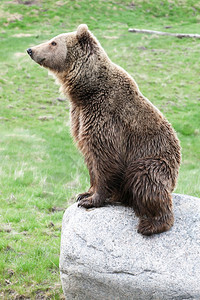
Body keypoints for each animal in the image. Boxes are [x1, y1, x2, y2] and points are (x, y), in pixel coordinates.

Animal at [26, 24, 181, 234]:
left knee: (145, 180)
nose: (30, 49)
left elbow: (105, 157)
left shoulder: (107, 118)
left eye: (53, 42)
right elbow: (89, 157)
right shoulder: (80, 118)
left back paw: (151, 224)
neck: (85, 91)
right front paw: (84, 193)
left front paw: (92, 200)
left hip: (154, 159)